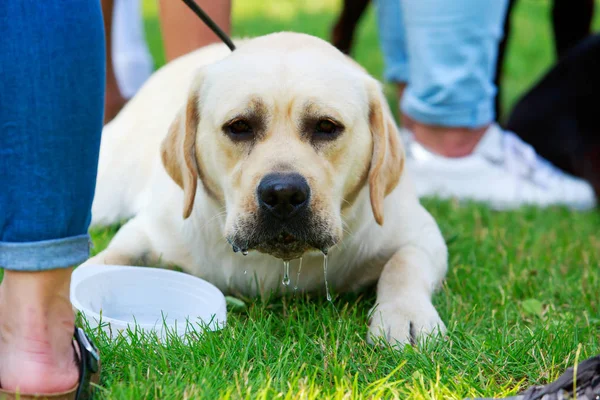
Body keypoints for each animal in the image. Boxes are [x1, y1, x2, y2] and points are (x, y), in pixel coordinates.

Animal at [88, 32, 446, 346]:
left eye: (326, 127)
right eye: (239, 127)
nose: (283, 195)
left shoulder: (422, 233)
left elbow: (404, 263)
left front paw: (406, 316)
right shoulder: (148, 231)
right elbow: (108, 259)